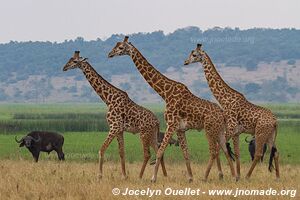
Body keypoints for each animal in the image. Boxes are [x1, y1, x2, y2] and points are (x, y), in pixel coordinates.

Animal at [62, 50, 168, 179]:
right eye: (69, 59)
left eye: (74, 61)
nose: (64, 68)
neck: (108, 99)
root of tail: (157, 122)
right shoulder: (119, 130)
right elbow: (121, 152)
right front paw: (124, 176)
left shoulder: (113, 127)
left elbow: (102, 149)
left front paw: (99, 175)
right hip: (152, 134)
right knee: (159, 152)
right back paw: (164, 175)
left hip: (144, 133)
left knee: (147, 154)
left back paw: (140, 176)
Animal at [108, 36, 237, 183]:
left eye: (120, 47)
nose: (109, 54)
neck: (165, 93)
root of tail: (223, 115)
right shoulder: (180, 129)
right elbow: (185, 153)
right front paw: (190, 178)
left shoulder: (171, 124)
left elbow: (160, 151)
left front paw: (153, 178)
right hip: (219, 130)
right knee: (224, 149)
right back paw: (233, 176)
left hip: (210, 128)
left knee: (214, 151)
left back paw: (205, 177)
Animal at [184, 44, 280, 180]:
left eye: (194, 55)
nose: (185, 62)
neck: (225, 100)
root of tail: (275, 121)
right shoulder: (236, 132)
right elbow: (237, 153)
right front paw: (237, 176)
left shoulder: (230, 128)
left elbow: (218, 149)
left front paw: (215, 175)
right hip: (270, 134)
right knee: (275, 152)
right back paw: (277, 177)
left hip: (260, 132)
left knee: (258, 153)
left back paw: (248, 176)